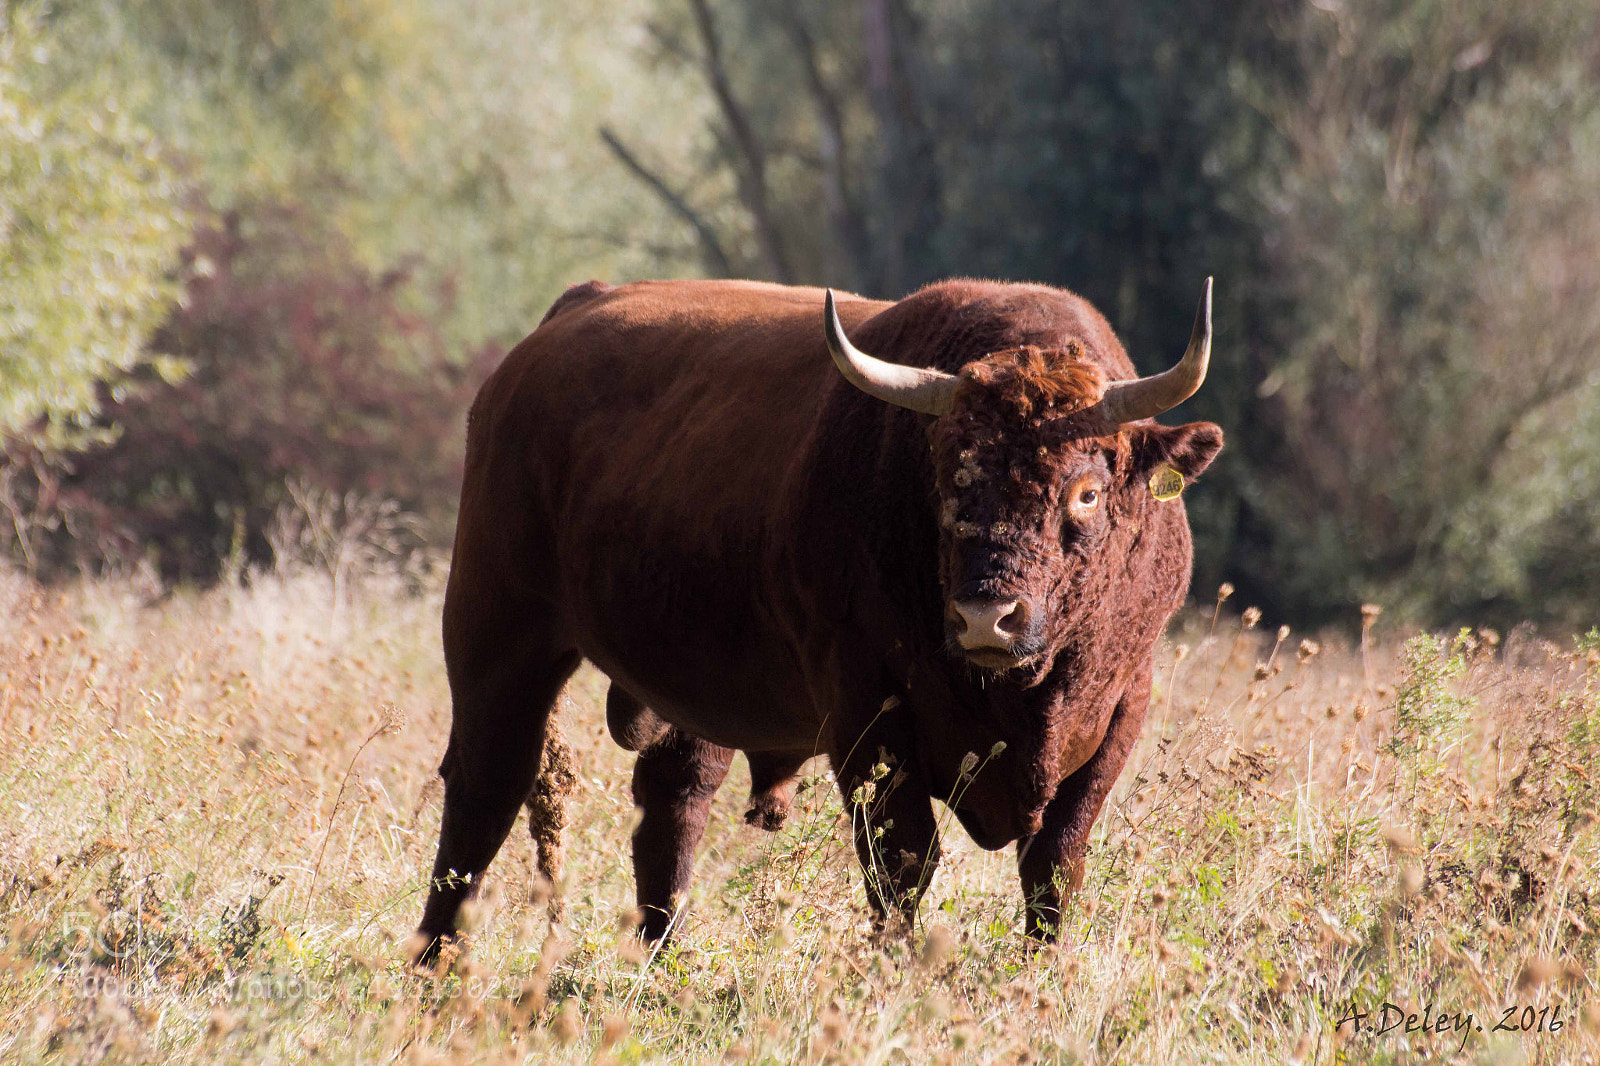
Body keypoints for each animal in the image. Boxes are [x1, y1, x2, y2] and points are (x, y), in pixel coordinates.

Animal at [415, 276, 1223, 960]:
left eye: (1086, 492)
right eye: (949, 480)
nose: (986, 618)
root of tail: (563, 321)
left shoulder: (1118, 715)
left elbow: (1054, 866)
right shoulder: (867, 713)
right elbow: (904, 863)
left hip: (694, 691)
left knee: (673, 800)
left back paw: (661, 958)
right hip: (498, 636)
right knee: (486, 791)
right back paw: (435, 964)